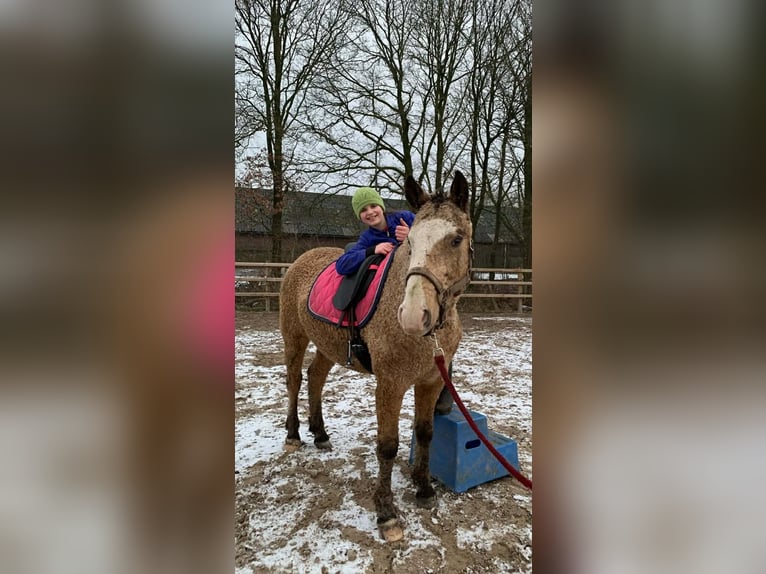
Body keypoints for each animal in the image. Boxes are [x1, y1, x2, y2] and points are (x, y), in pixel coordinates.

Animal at [278, 171, 473, 542]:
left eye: (456, 239)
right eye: (410, 240)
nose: (413, 316)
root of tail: (302, 259)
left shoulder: (430, 381)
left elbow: (425, 432)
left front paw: (424, 489)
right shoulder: (390, 383)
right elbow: (387, 445)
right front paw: (387, 514)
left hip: (327, 345)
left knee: (315, 377)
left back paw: (320, 433)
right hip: (293, 336)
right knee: (294, 380)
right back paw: (294, 435)